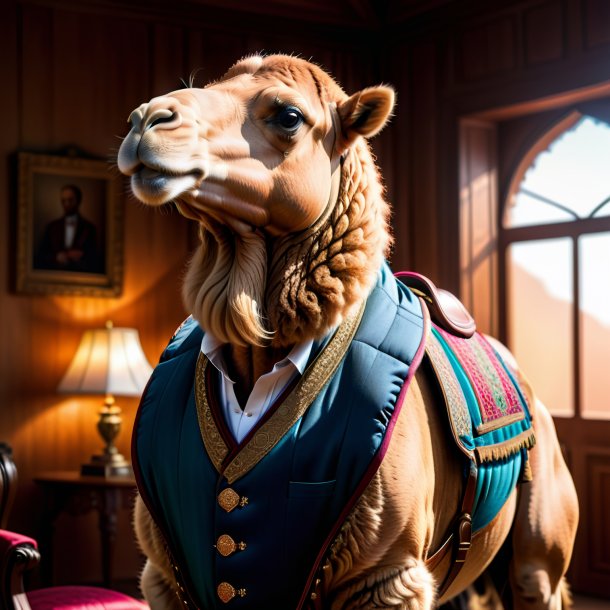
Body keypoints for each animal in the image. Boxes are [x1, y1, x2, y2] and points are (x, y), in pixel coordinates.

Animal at [117, 53, 576, 608]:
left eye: (289, 115)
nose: (146, 120)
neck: (258, 360)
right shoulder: (163, 575)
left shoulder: (386, 575)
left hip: (536, 565)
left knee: (535, 575)